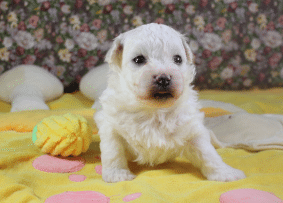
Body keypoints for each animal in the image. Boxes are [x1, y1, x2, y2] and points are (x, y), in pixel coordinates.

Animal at [86, 23, 246, 182]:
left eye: (178, 59)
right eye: (138, 60)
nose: (163, 79)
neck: (154, 111)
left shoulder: (192, 130)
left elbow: (208, 153)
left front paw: (225, 173)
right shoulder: (111, 126)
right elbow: (113, 151)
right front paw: (117, 175)